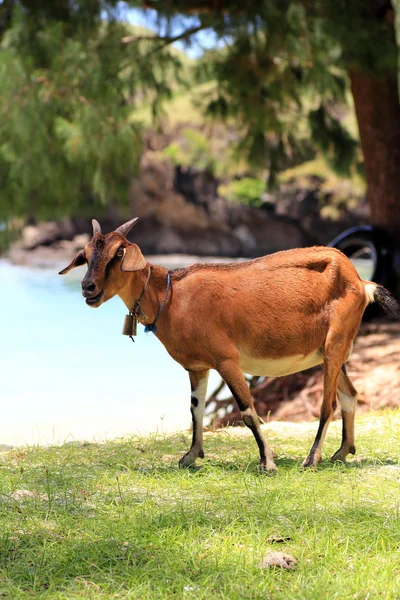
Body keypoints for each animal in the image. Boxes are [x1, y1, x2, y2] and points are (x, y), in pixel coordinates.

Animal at [57, 218, 398, 472]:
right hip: (332, 352)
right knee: (350, 395)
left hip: (334, 343)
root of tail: (361, 282)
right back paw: (342, 453)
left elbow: (247, 411)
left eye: (118, 254)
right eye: (85, 254)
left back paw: (311, 459)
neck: (171, 296)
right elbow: (195, 408)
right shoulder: (197, 365)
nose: (88, 288)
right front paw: (190, 457)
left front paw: (267, 462)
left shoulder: (226, 359)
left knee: (328, 404)